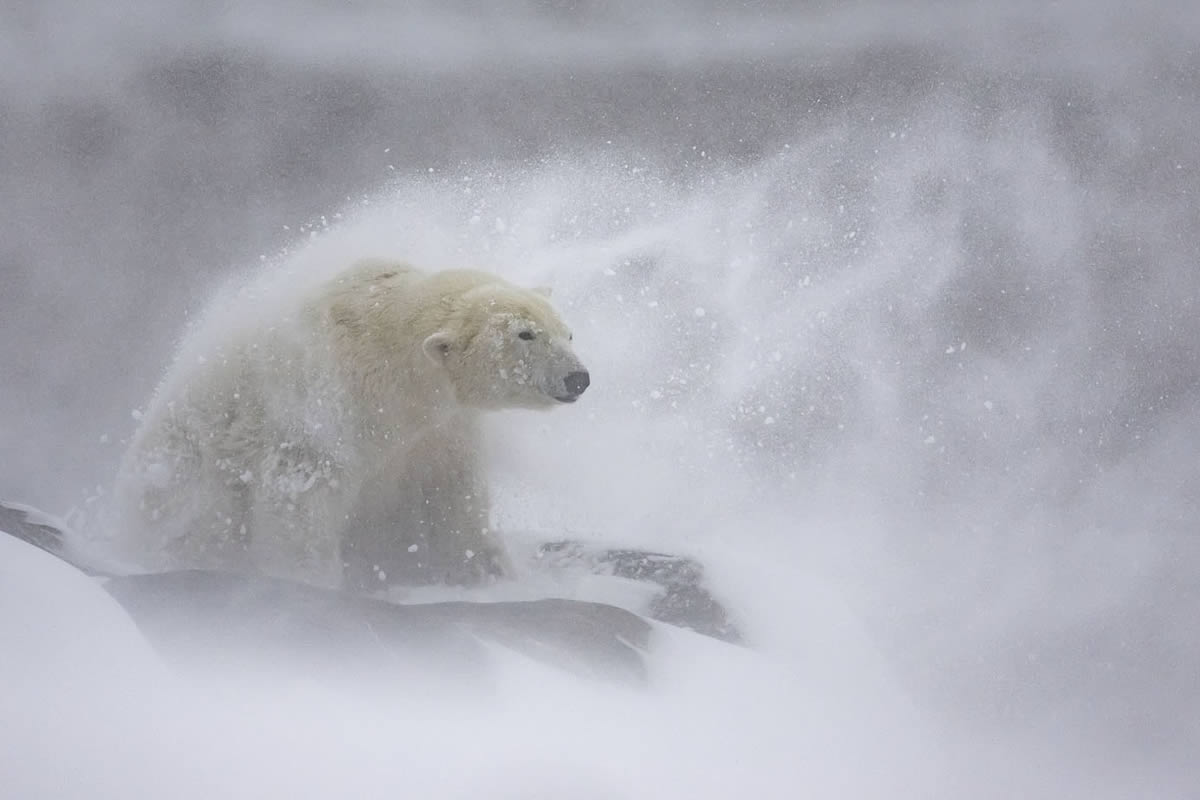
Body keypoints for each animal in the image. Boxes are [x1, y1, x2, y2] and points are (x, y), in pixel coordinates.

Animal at [110, 260, 588, 592]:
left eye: (566, 332)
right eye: (525, 335)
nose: (577, 378)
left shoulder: (441, 428)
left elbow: (453, 495)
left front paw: (488, 572)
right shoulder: (325, 406)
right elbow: (302, 494)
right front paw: (311, 582)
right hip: (185, 471)